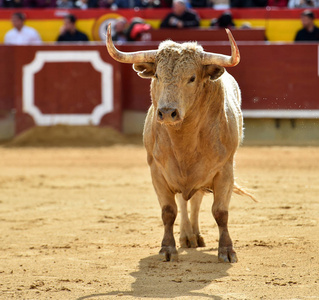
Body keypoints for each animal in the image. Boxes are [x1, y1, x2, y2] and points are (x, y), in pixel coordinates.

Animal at [107, 24, 255, 264]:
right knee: (185, 203)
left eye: (192, 78)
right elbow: (169, 211)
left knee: (196, 201)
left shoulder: (225, 170)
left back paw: (195, 236)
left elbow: (220, 212)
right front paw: (168, 248)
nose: (167, 112)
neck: (184, 140)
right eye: (158, 75)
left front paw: (227, 250)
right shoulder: (157, 171)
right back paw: (187, 236)